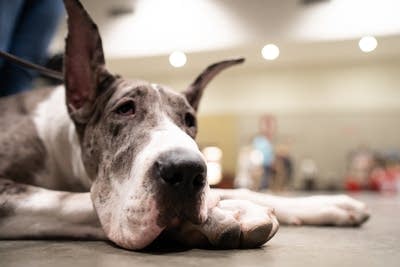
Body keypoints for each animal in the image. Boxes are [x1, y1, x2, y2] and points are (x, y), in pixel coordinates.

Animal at [0, 0, 368, 251]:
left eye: (190, 120)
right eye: (125, 109)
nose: (186, 171)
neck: (62, 148)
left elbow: (234, 188)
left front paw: (327, 204)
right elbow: (67, 200)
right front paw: (230, 214)